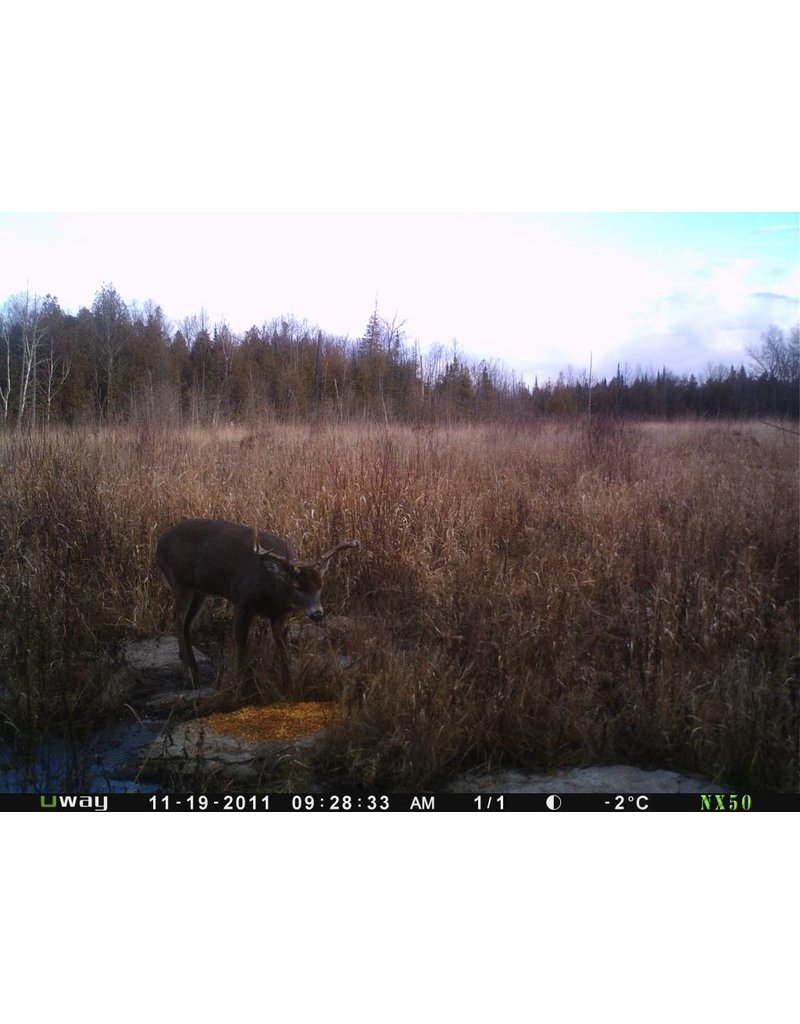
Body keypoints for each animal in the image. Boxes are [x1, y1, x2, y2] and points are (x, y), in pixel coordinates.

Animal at [156, 518, 359, 689]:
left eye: (321, 585)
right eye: (296, 586)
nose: (317, 613)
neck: (271, 593)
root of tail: (159, 544)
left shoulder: (280, 614)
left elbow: (283, 650)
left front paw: (288, 685)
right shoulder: (241, 601)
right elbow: (241, 645)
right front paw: (242, 684)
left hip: (199, 591)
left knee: (186, 625)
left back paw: (195, 673)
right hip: (181, 583)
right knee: (178, 623)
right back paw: (189, 675)